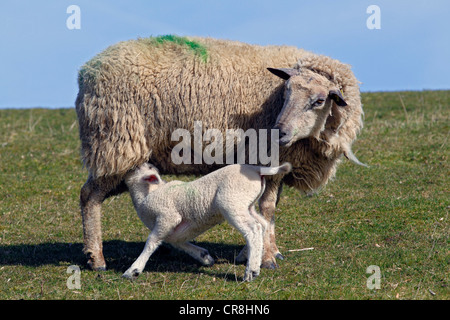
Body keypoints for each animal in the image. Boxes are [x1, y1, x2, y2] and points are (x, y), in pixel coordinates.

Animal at [121, 161, 294, 282]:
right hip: (247, 204)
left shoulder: (168, 217)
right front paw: (204, 256)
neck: (147, 194)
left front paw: (133, 270)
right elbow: (176, 242)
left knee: (253, 230)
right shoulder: (175, 229)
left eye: (145, 166)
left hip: (231, 202)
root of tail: (256, 169)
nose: (132, 164)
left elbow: (151, 242)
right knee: (262, 224)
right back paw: (250, 257)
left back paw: (251, 271)